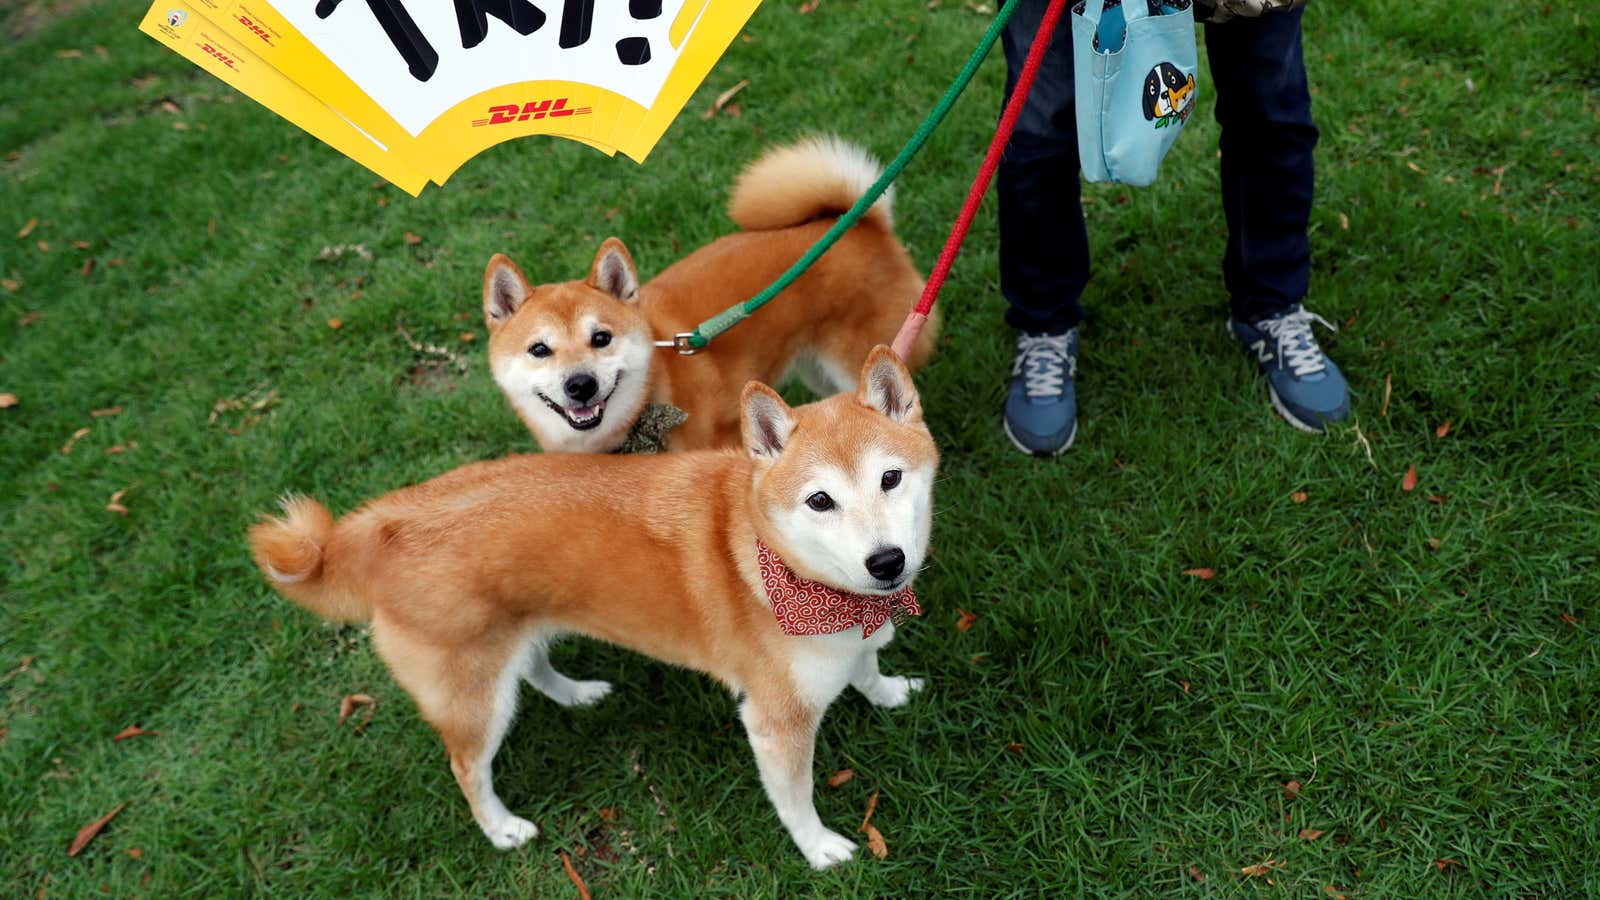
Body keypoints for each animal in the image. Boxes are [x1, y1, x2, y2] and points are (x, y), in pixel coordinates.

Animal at [249, 347, 934, 864]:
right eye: (820, 501)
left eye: (890, 478)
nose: (887, 562)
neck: (791, 571)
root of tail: (386, 522)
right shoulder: (775, 724)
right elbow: (797, 798)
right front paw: (818, 848)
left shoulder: (859, 631)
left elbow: (868, 664)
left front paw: (887, 691)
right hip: (474, 700)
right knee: (467, 768)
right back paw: (501, 828)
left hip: (515, 634)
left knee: (530, 664)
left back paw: (576, 694)